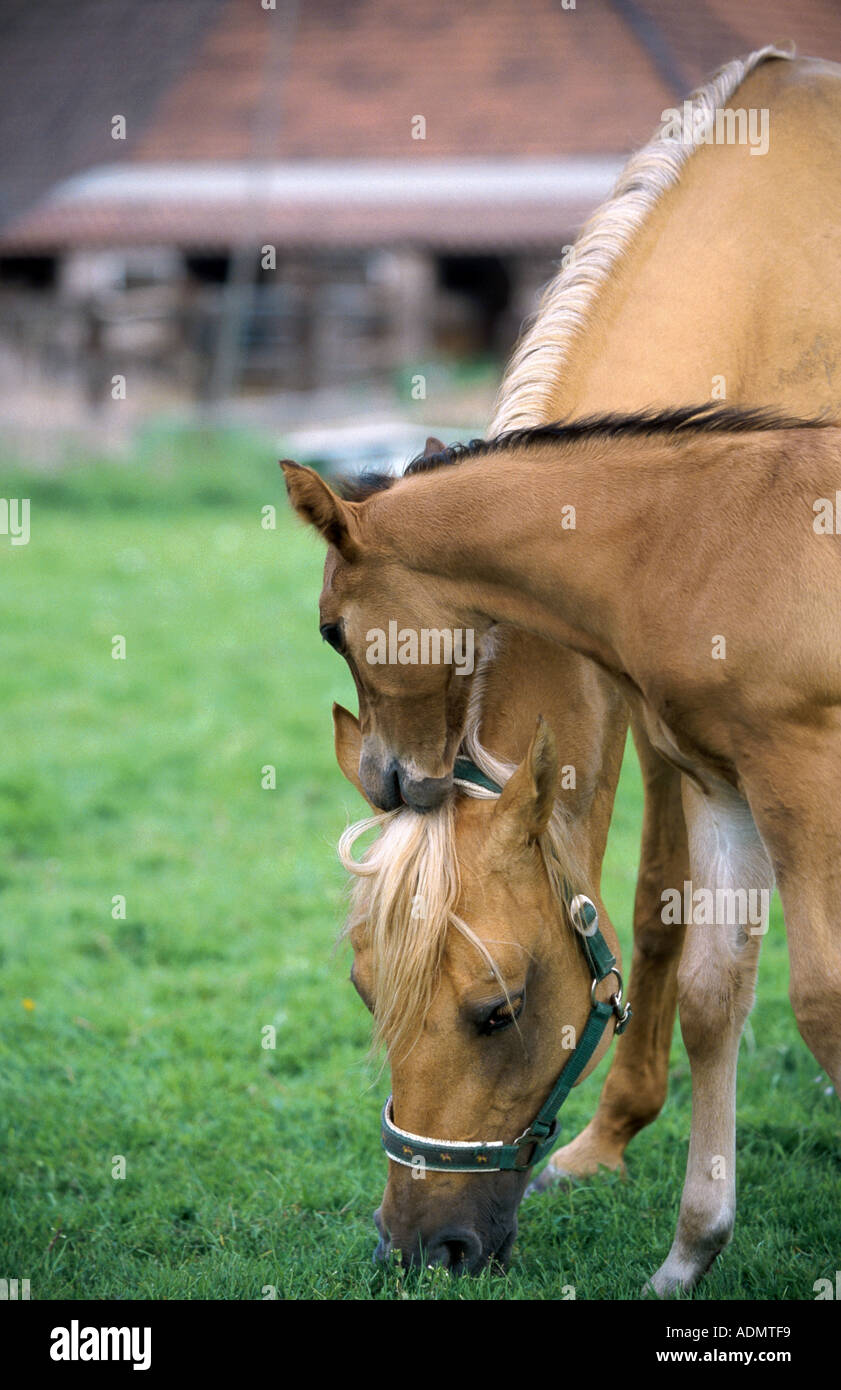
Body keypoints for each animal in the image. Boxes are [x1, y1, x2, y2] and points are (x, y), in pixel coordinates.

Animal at [286, 46, 841, 1291]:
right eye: (364, 990)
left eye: (496, 1010)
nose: (420, 1243)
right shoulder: (682, 726)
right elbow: (699, 959)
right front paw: (630, 1172)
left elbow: (689, 926)